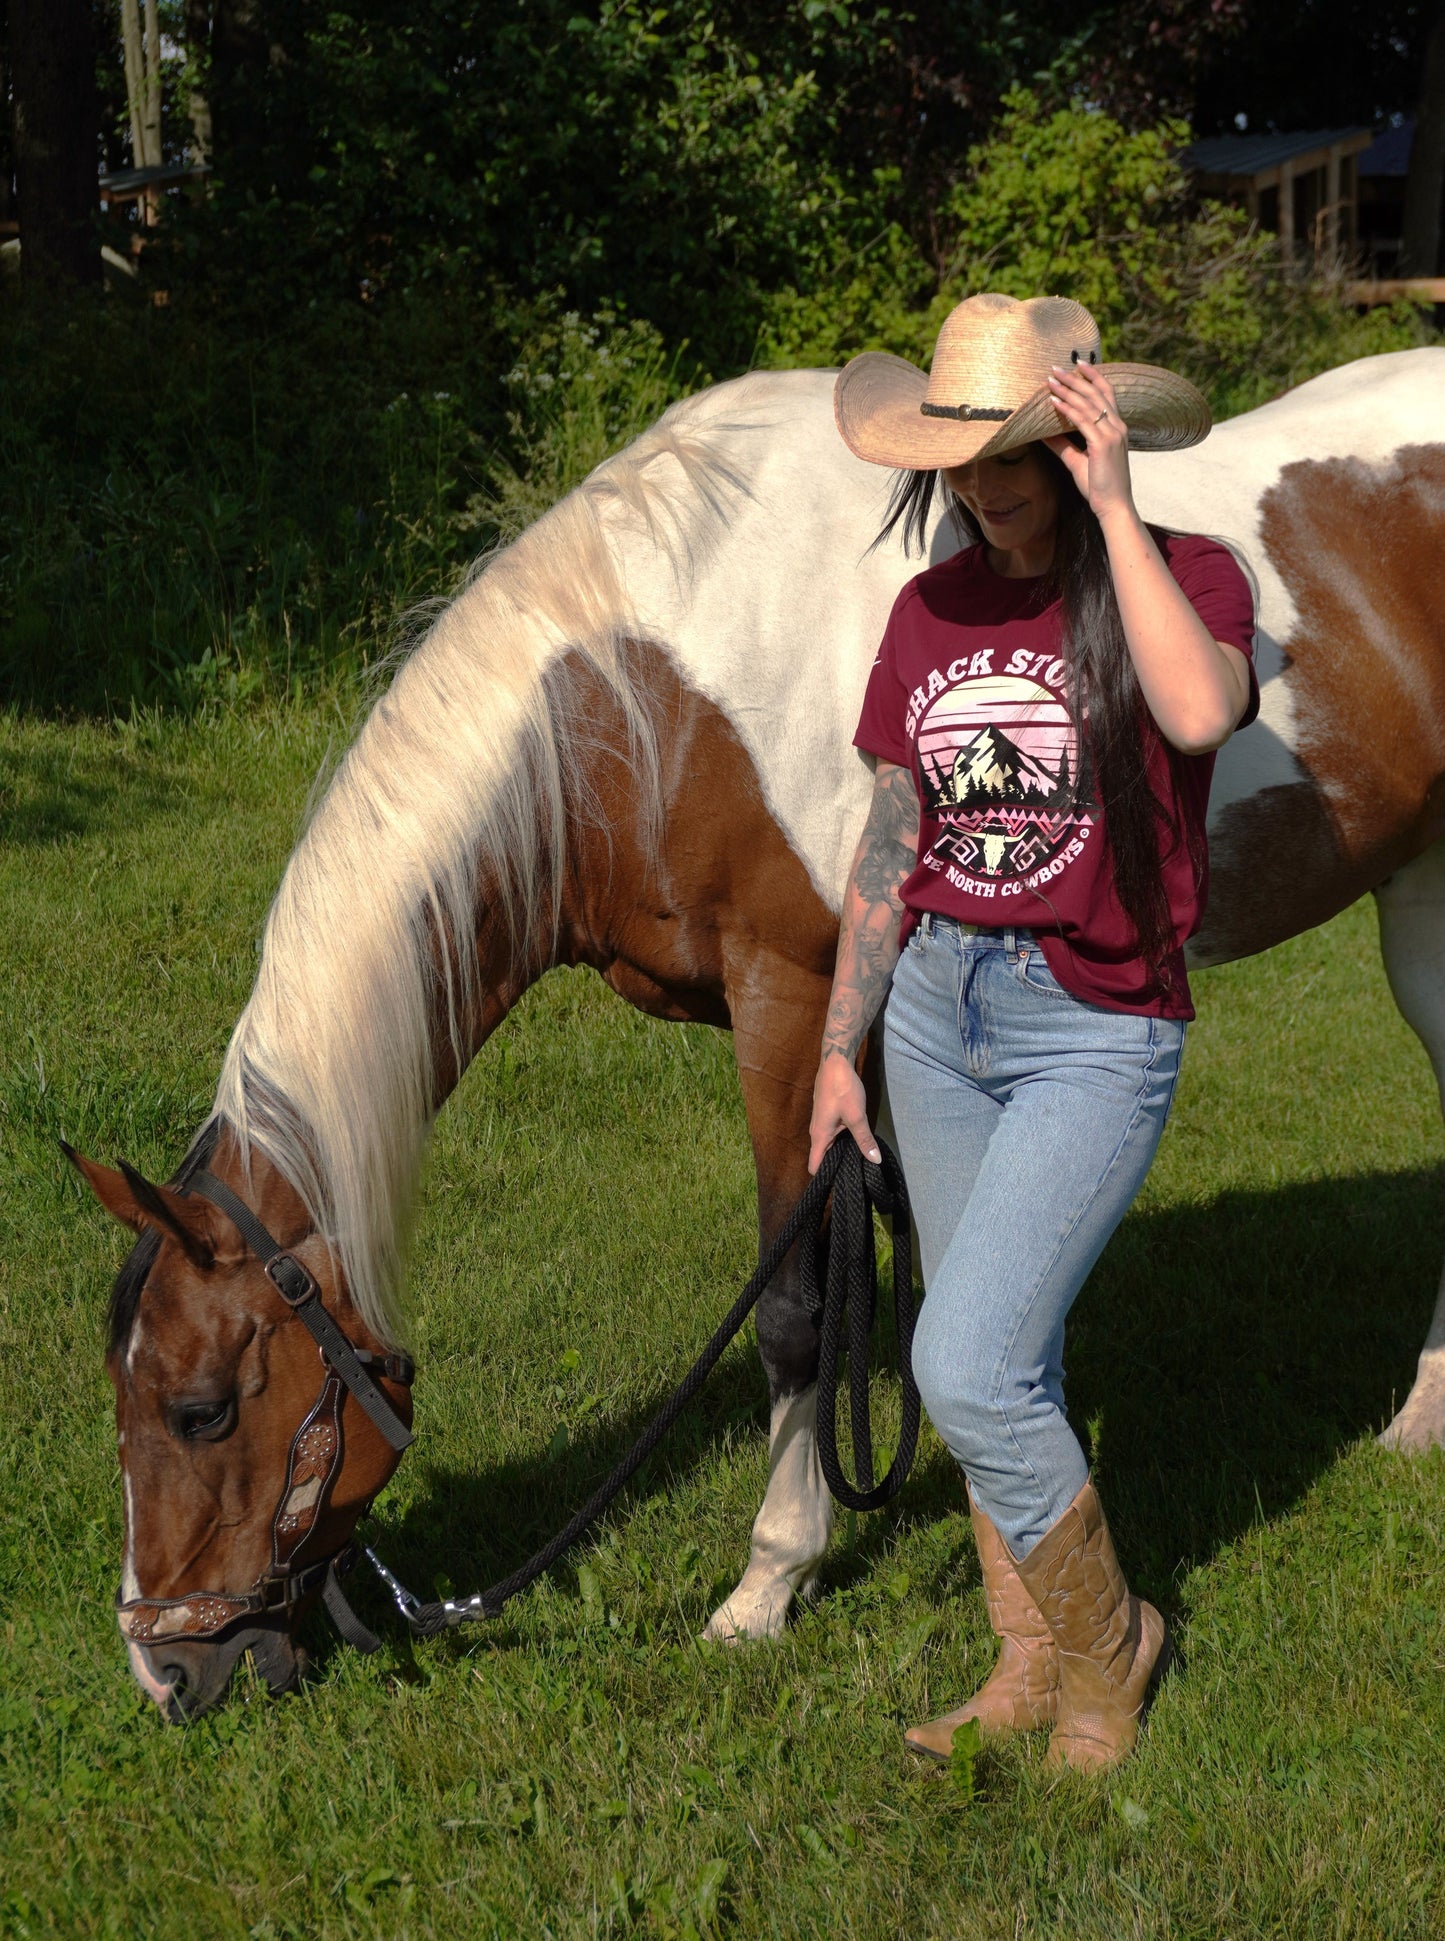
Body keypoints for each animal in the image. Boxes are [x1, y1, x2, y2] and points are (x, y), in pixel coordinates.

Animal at [70, 345, 1445, 1715]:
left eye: (201, 1409)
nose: (166, 1669)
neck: (647, 705)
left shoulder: (787, 997)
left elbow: (793, 1307)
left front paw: (769, 1582)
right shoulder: (875, 1026)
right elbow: (927, 1275)